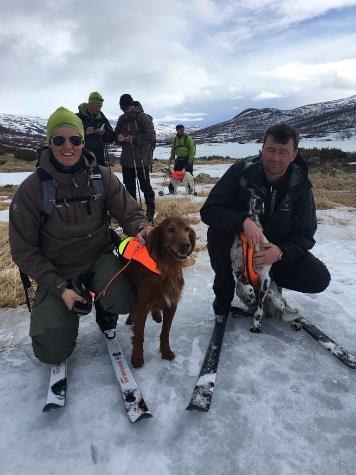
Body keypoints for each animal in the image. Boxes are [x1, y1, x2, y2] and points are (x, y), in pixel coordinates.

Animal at [123, 216, 196, 368]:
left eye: (187, 229)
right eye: (170, 230)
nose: (185, 245)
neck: (167, 268)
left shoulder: (172, 303)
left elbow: (165, 332)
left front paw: (166, 351)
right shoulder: (142, 303)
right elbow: (139, 334)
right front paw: (137, 357)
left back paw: (156, 315)